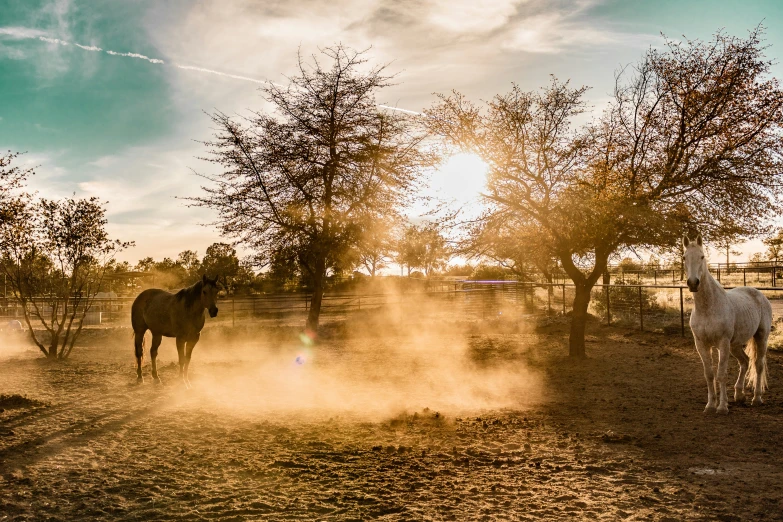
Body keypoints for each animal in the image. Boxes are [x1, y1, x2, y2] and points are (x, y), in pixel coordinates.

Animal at [688, 234, 772, 412]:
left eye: (702, 256)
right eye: (684, 257)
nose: (693, 283)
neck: (709, 307)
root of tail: (760, 294)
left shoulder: (723, 343)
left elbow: (721, 374)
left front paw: (722, 407)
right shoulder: (701, 344)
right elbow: (709, 374)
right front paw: (710, 405)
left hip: (761, 337)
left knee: (758, 365)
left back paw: (756, 398)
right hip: (735, 345)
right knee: (745, 362)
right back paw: (739, 395)